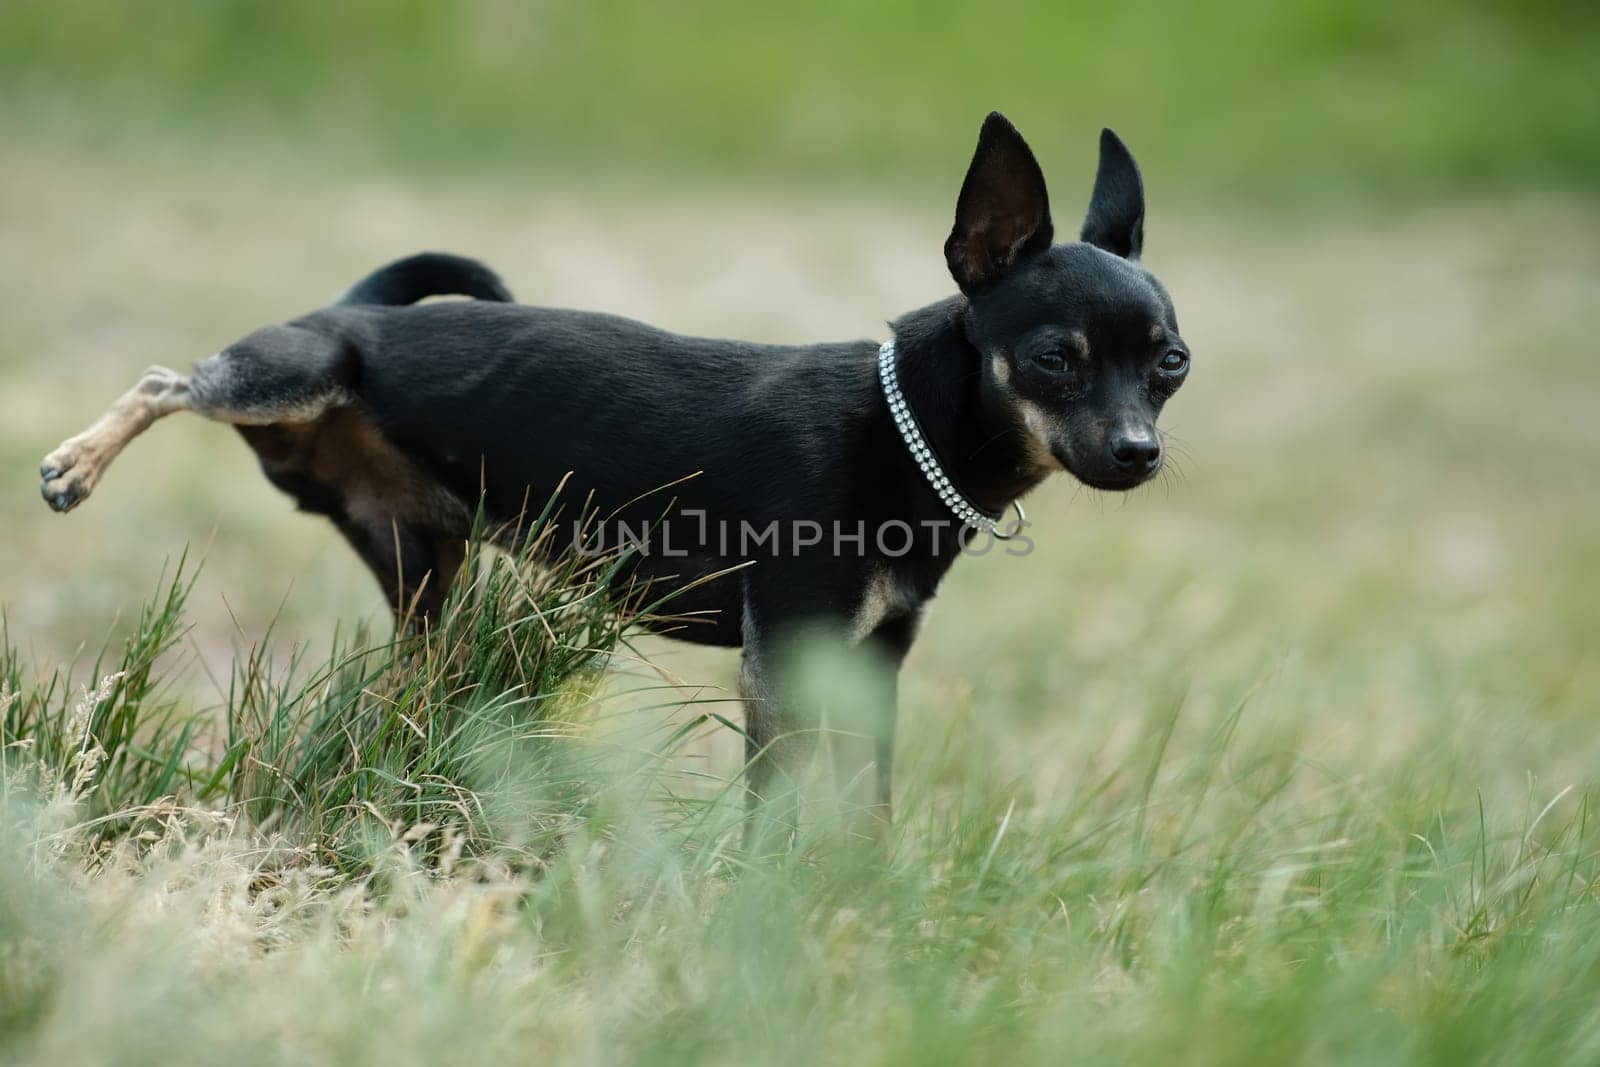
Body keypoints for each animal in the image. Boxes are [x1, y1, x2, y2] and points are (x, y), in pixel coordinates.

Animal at [40, 112, 1190, 825]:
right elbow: (773, 805)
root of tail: (354, 307)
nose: (1139, 454)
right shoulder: (779, 667)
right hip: (292, 373)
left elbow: (867, 802)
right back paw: (74, 463)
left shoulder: (872, 667)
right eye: (1054, 359)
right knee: (167, 379)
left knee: (410, 676)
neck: (904, 434)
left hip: (424, 569)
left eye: (1171, 364)